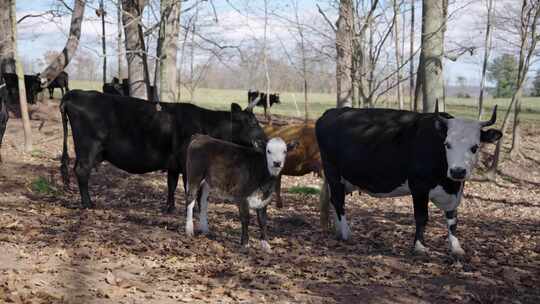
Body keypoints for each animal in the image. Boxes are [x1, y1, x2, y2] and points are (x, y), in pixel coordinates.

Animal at [59, 90, 268, 211]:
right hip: (89, 147)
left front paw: (170, 207)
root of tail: (75, 93)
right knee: (82, 171)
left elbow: (171, 184)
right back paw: (88, 203)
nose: (265, 140)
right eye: (253, 122)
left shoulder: (173, 164)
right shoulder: (188, 164)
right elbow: (191, 187)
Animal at [316, 103, 502, 255]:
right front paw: (419, 246)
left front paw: (456, 247)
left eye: (475, 147)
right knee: (338, 202)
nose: (458, 171)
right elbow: (421, 217)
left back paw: (338, 231)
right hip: (333, 172)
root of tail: (332, 111)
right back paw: (346, 234)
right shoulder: (419, 186)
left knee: (334, 200)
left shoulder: (455, 191)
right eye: (447, 144)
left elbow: (452, 219)